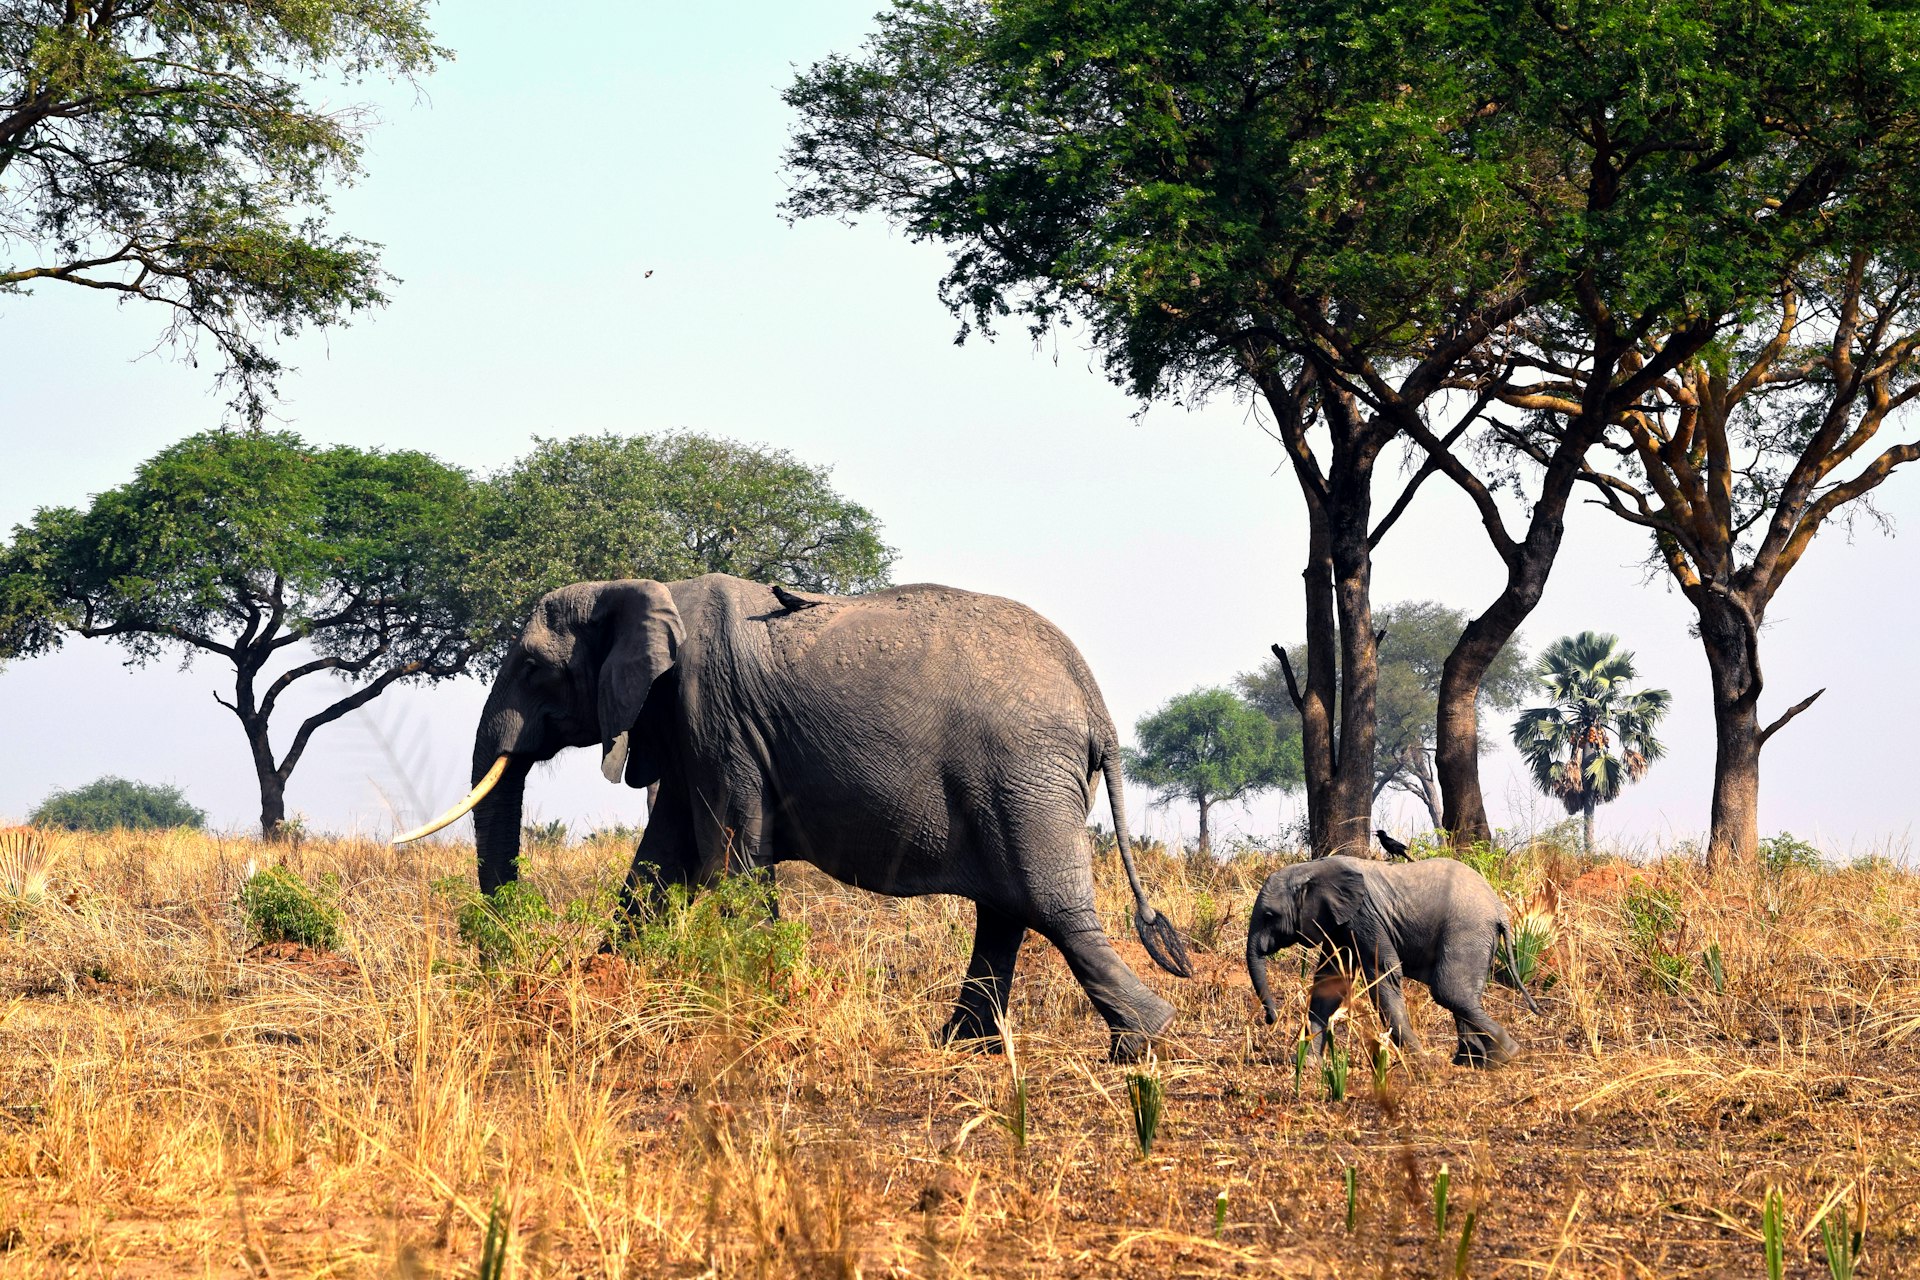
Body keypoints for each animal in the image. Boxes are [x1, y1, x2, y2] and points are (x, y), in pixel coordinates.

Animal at [398, 573, 1191, 1060]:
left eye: (534, 667)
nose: (513, 974)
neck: (643, 589)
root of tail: (1093, 700)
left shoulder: (713, 713)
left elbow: (727, 862)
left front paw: (759, 1004)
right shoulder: (684, 728)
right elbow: (660, 864)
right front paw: (599, 986)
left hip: (1022, 771)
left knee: (1050, 907)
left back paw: (1143, 1044)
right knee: (1008, 911)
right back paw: (961, 1047)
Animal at [1244, 856, 1539, 1067]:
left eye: (1269, 915)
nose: (1271, 1018)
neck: (1311, 868)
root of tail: (1500, 909)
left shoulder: (1364, 917)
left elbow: (1382, 975)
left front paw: (1420, 1061)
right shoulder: (1338, 925)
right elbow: (1329, 984)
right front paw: (1307, 1065)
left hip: (1466, 930)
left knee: (1449, 992)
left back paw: (1504, 1056)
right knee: (1464, 995)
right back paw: (1470, 1062)